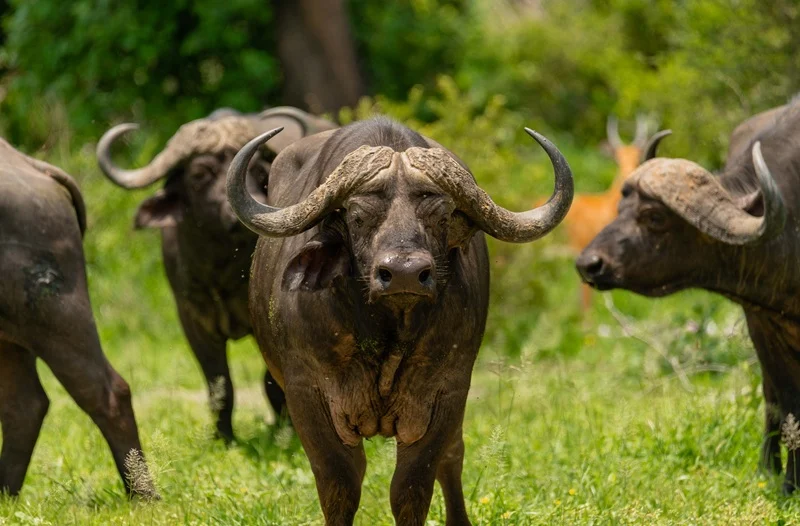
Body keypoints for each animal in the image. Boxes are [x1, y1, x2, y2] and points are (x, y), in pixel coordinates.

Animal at [0, 139, 154, 497]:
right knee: (24, 405)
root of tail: (31, 165)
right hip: (11, 336)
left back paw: (143, 495)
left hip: (56, 317)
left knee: (108, 392)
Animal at [96, 107, 336, 441]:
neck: (221, 272)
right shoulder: (192, 321)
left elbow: (272, 381)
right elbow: (219, 386)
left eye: (260, 174)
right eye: (200, 175)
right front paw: (224, 436)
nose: (233, 215)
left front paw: (284, 430)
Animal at [226, 118, 574, 524]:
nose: (405, 273)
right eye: (357, 216)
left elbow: (412, 486)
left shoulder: (447, 389)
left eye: (442, 216)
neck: (386, 336)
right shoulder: (305, 392)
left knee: (453, 456)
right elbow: (340, 483)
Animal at [577, 102, 800, 492]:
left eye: (654, 216)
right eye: (620, 210)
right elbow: (788, 403)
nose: (589, 264)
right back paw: (768, 470)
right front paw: (790, 483)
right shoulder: (764, 322)